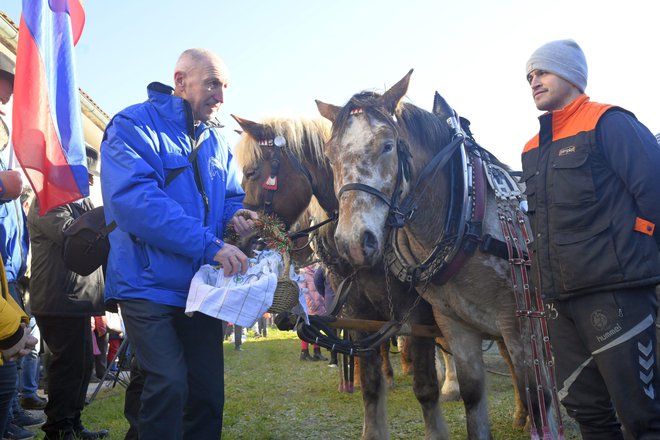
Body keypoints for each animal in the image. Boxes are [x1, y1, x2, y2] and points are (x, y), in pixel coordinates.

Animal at [232, 115, 464, 438]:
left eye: (251, 172)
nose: (240, 235)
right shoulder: (358, 312)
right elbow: (371, 381)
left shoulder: (415, 310)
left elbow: (425, 382)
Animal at [318, 70, 560, 438]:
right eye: (330, 157)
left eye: (387, 145)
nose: (352, 243)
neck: (466, 211)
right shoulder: (454, 323)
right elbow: (473, 394)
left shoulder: (521, 322)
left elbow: (539, 397)